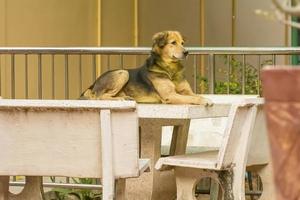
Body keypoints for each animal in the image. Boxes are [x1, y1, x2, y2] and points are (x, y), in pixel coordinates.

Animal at [78, 30, 212, 105]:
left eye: (182, 43)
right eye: (173, 43)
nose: (187, 52)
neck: (170, 69)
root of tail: (93, 84)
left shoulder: (187, 91)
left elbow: (196, 95)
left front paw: (205, 98)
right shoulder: (169, 95)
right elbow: (194, 98)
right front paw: (205, 101)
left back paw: (125, 97)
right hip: (123, 72)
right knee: (100, 97)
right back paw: (121, 99)